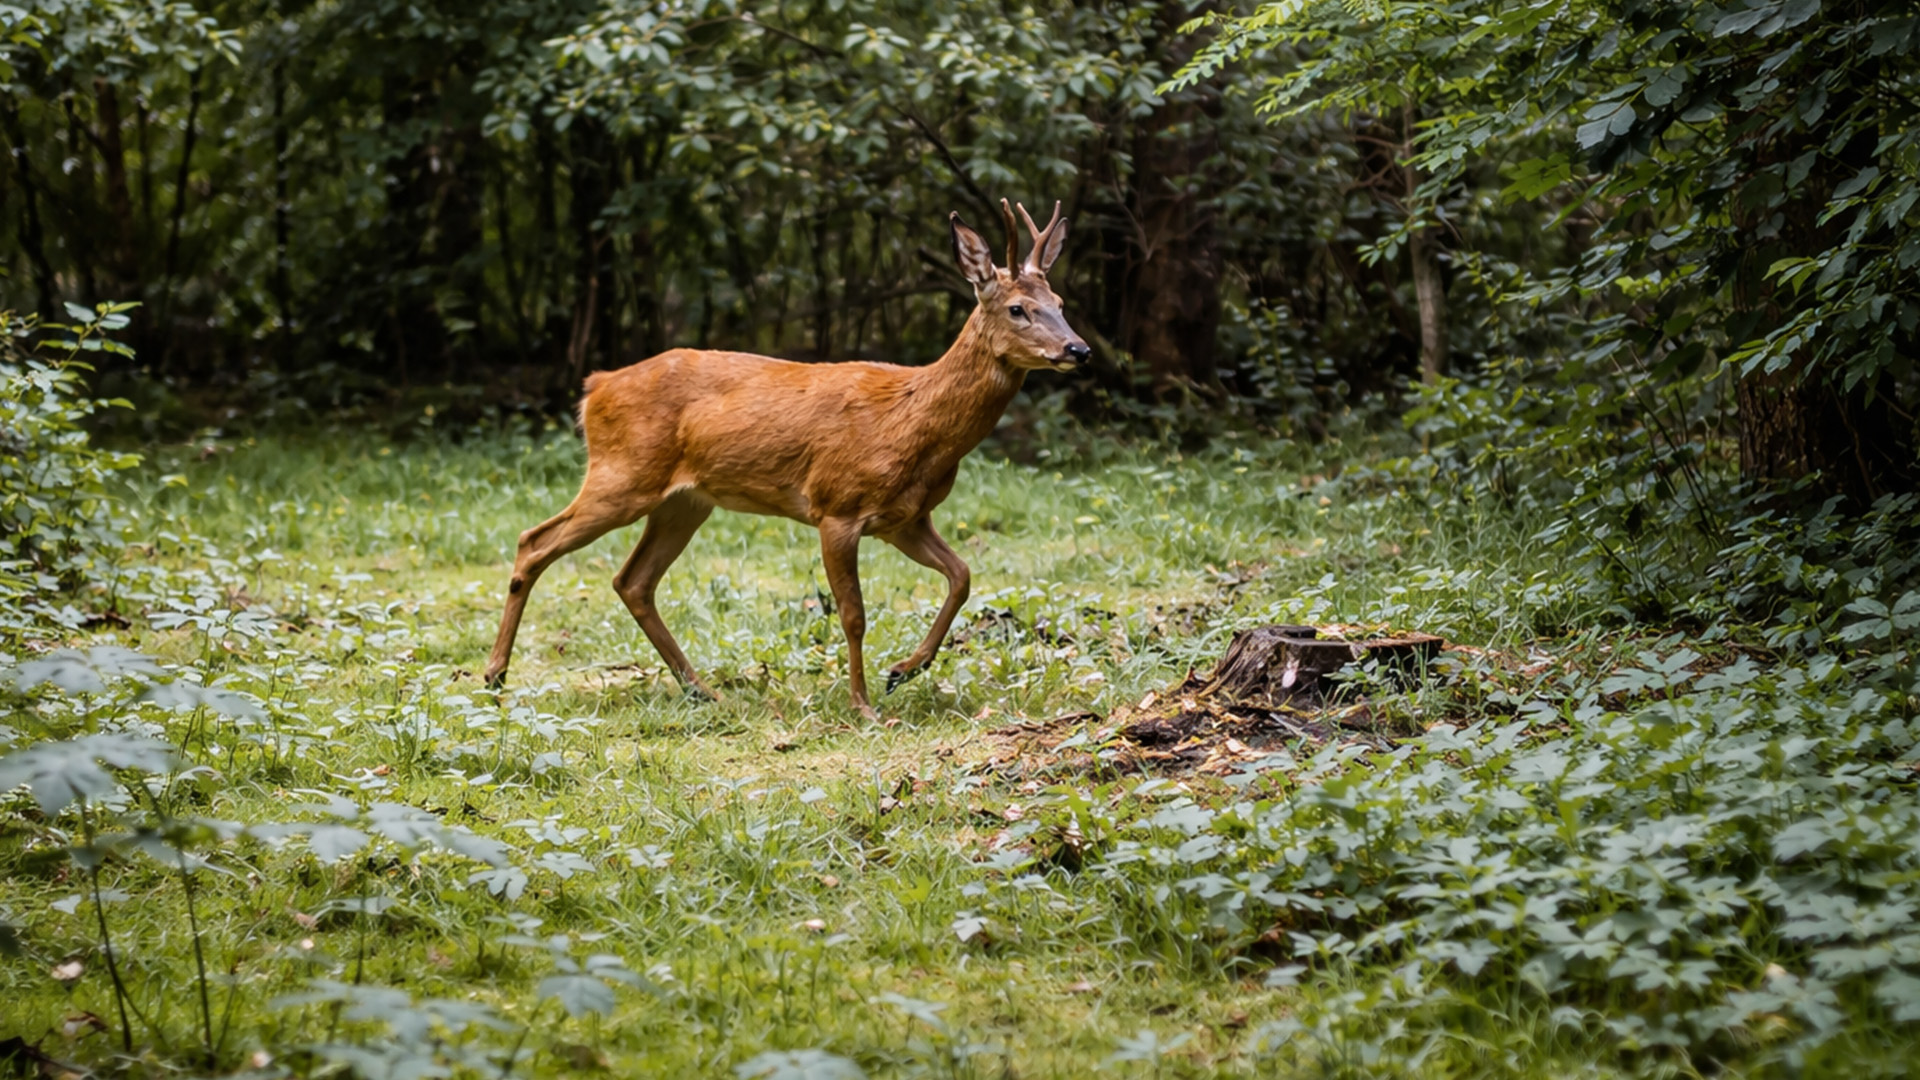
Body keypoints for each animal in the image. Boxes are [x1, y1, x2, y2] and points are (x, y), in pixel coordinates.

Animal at [482, 198, 1088, 719]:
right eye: (1018, 308)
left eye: (1060, 305)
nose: (1078, 349)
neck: (911, 421)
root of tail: (595, 388)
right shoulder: (837, 507)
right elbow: (853, 615)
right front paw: (863, 705)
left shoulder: (906, 518)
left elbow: (961, 576)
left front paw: (904, 670)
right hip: (622, 475)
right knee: (534, 541)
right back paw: (494, 677)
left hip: (685, 502)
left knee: (633, 580)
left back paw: (702, 690)